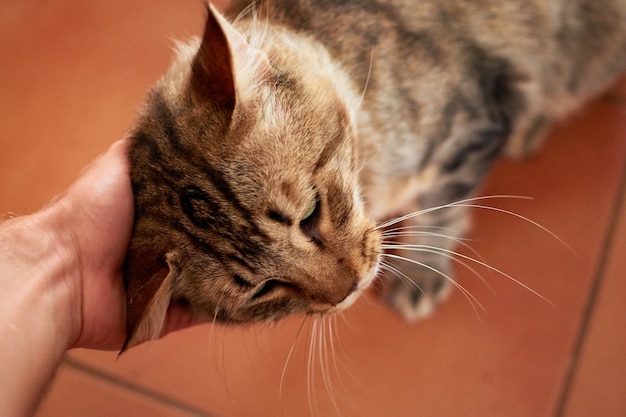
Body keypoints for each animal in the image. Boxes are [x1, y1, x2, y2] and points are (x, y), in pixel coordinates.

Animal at [119, 0, 620, 350]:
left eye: (310, 213)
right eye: (263, 289)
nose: (351, 288)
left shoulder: (469, 127)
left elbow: (441, 214)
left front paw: (420, 270)